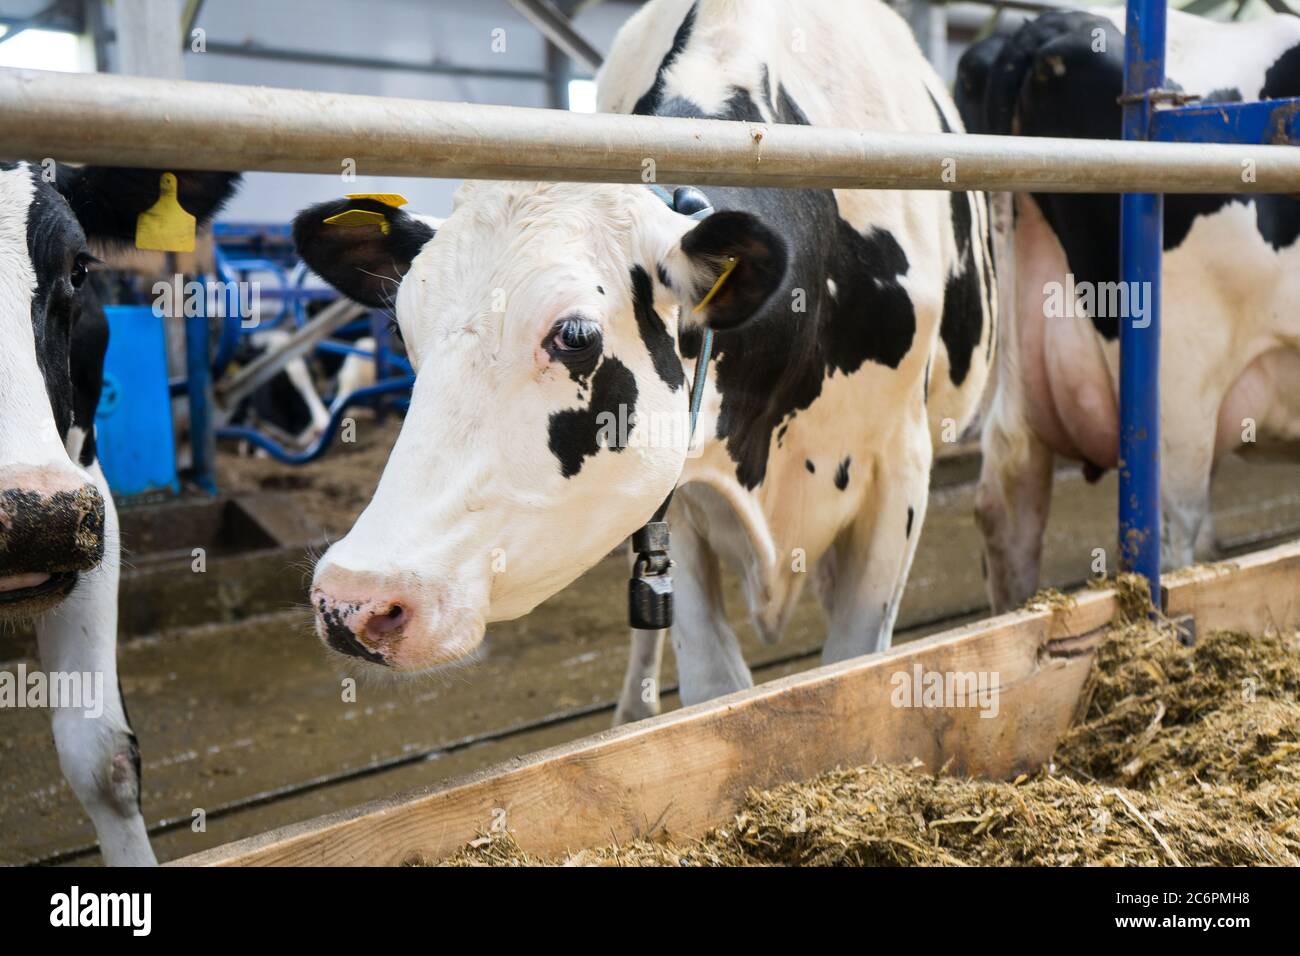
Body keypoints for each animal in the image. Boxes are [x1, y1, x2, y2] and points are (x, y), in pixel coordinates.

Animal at [291, 0, 996, 722]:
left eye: (574, 334)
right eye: (400, 327)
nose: (354, 600)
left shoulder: (899, 467)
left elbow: (858, 664)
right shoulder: (674, 491)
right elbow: (714, 687)